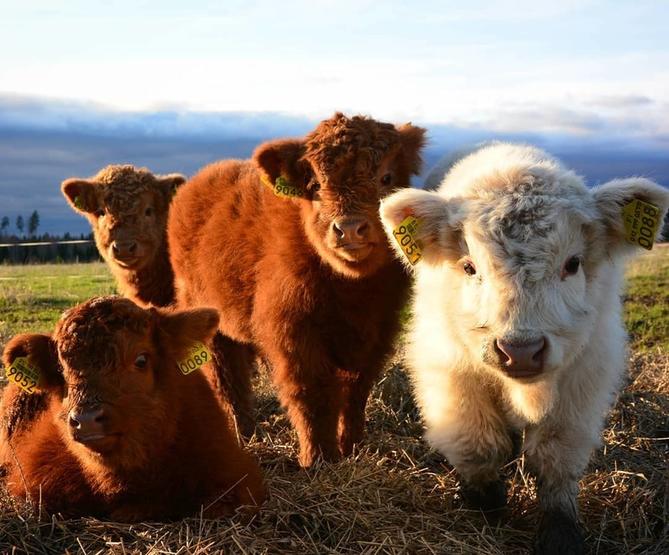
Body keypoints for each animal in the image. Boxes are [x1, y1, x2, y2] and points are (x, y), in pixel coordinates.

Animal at [170, 112, 426, 464]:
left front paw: (352, 447)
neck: (354, 292)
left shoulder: (378, 334)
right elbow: (312, 395)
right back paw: (242, 437)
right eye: (315, 185)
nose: (349, 229)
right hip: (210, 325)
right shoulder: (294, 333)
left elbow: (356, 391)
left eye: (386, 177)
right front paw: (319, 458)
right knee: (227, 381)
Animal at [378, 144, 664, 555]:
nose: (521, 351)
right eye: (469, 267)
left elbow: (555, 455)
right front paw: (486, 508)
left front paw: (560, 531)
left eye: (572, 264)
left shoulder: (584, 375)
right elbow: (478, 442)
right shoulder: (450, 371)